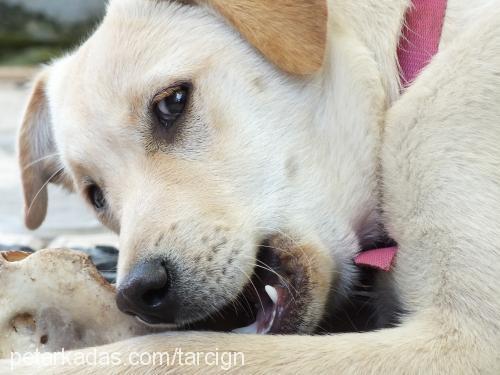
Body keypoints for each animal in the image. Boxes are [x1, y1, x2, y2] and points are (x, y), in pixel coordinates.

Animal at [6, 0, 500, 374]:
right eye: (96, 195)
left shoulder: (468, 340)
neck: (403, 61)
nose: (137, 293)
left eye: (172, 102)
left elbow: (172, 352)